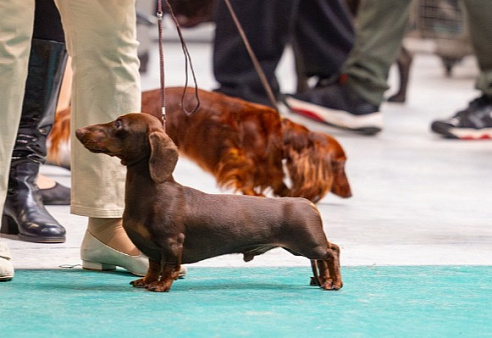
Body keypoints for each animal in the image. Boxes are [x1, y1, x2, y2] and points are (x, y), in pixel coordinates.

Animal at [48, 87, 352, 203]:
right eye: (340, 165)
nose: (349, 194)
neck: (280, 134)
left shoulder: (271, 166)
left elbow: (278, 182)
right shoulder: (241, 160)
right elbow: (248, 182)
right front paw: (257, 195)